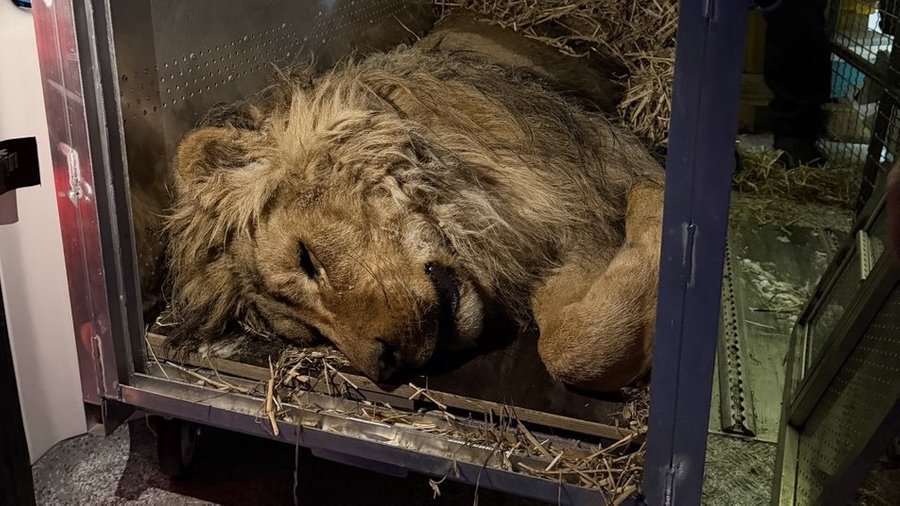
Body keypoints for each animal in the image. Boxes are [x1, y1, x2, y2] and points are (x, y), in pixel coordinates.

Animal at [163, 21, 665, 392]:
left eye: (305, 258)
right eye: (308, 334)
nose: (386, 366)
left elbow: (571, 346)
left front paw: (655, 196)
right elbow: (569, 346)